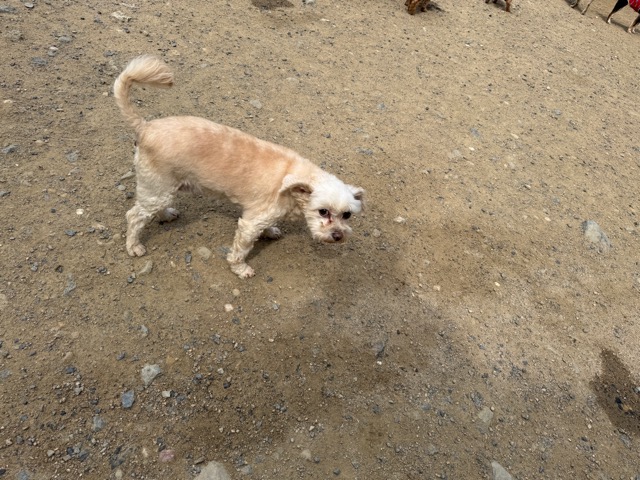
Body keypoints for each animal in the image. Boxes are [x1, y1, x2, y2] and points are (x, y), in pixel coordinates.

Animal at [113, 55, 364, 279]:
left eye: (347, 215)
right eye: (323, 211)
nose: (338, 235)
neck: (292, 180)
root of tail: (145, 127)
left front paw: (271, 232)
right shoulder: (250, 223)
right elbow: (240, 250)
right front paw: (241, 269)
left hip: (162, 187)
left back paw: (166, 215)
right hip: (158, 186)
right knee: (134, 216)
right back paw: (134, 246)